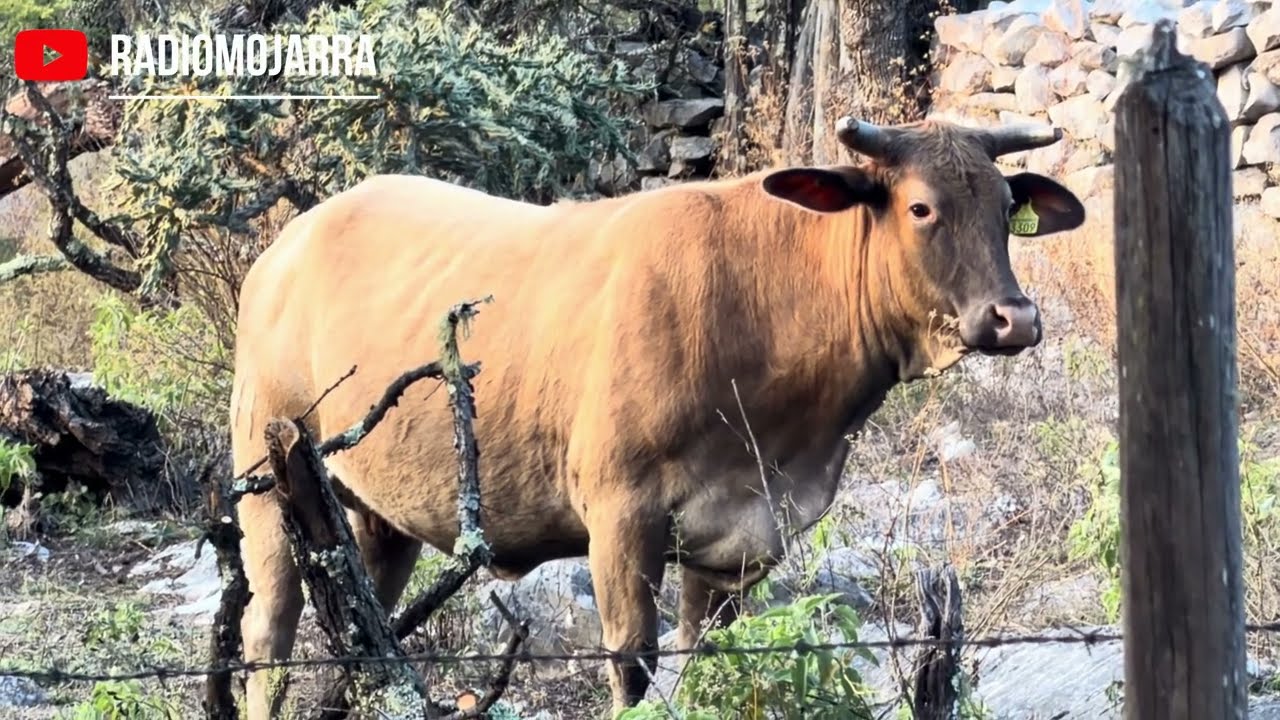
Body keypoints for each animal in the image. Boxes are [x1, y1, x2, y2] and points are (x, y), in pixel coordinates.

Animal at [230, 116, 1085, 718]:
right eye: (920, 207)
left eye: (1006, 207)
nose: (1014, 318)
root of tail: (295, 235)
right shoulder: (620, 513)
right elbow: (632, 665)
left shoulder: (746, 537)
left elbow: (710, 660)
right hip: (265, 481)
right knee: (269, 636)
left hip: (376, 513)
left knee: (362, 633)